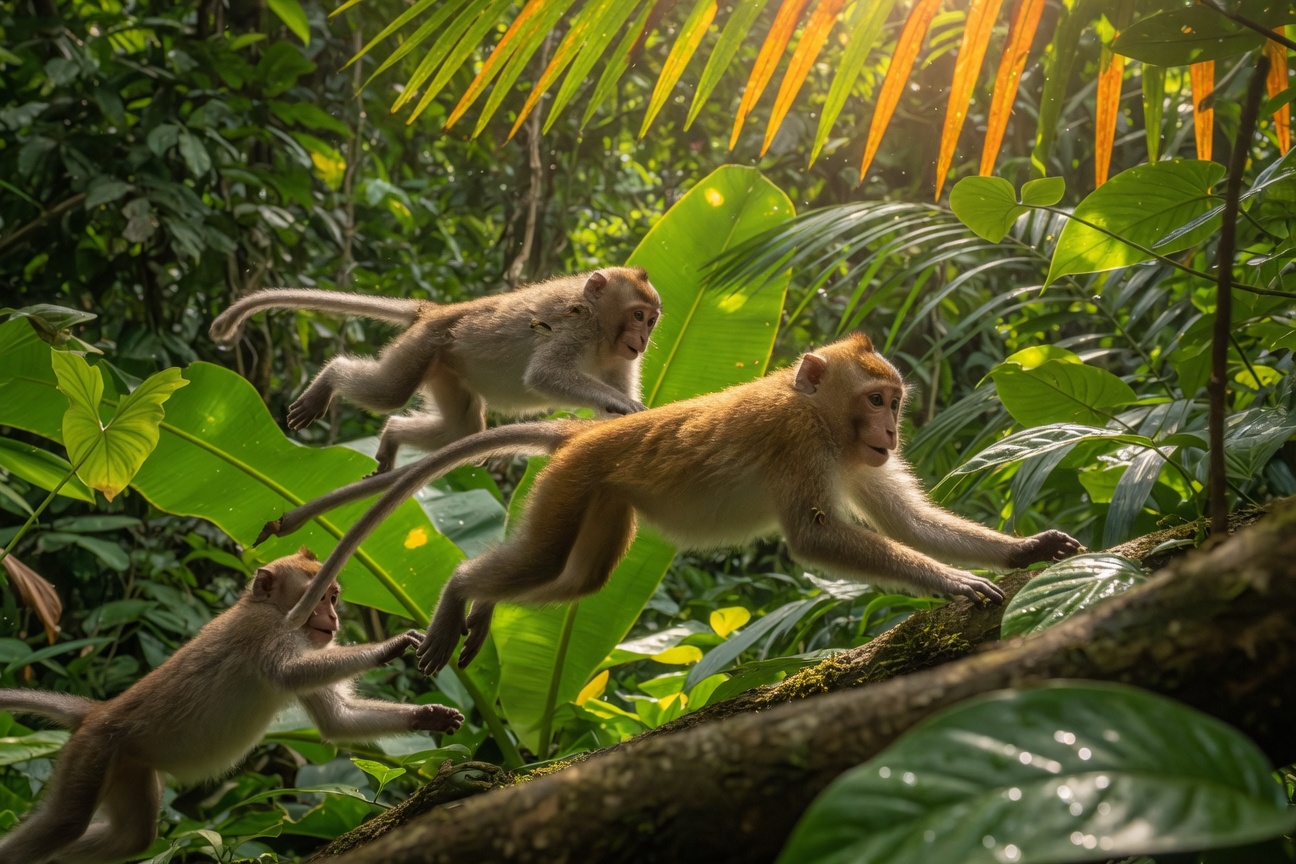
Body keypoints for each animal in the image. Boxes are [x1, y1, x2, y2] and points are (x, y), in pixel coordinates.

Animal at [0, 548, 463, 864]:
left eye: (334, 597)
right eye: (321, 599)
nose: (333, 620)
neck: (265, 607)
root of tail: (98, 711)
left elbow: (336, 721)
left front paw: (430, 715)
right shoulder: (266, 631)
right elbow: (288, 675)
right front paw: (391, 646)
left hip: (129, 763)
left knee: (133, 837)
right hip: (94, 750)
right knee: (65, 824)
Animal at [210, 268, 662, 473]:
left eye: (652, 319)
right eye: (638, 314)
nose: (642, 338)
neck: (603, 331)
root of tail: (436, 312)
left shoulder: (620, 356)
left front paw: (626, 416)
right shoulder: (575, 324)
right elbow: (545, 375)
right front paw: (628, 407)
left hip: (443, 367)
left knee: (462, 427)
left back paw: (392, 436)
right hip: (422, 346)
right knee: (389, 391)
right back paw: (330, 379)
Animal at [274, 334, 1082, 678]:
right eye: (879, 399)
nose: (891, 431)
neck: (816, 414)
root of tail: (585, 432)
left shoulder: (852, 457)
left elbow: (903, 520)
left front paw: (1027, 550)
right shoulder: (797, 443)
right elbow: (818, 538)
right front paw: (954, 583)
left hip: (598, 502)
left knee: (577, 580)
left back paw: (484, 608)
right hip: (571, 486)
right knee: (543, 559)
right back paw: (461, 593)